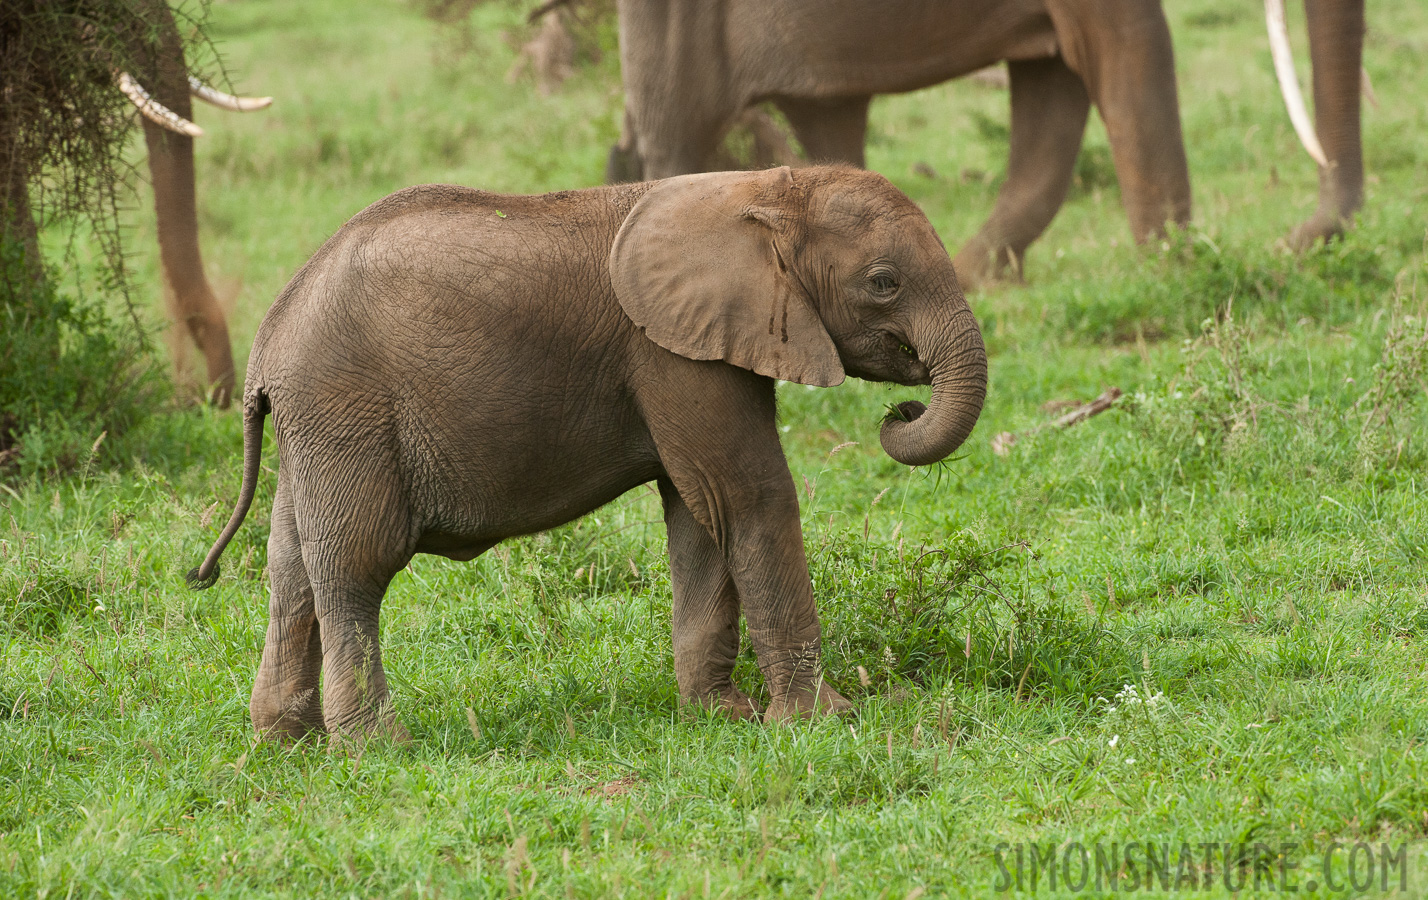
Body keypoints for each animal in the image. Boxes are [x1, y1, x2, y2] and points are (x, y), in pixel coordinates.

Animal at [189, 165, 988, 742]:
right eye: (883, 283)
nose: (902, 411)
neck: (759, 188)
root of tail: (267, 344)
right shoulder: (670, 351)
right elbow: (749, 496)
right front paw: (823, 722)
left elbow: (700, 512)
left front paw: (721, 717)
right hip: (346, 412)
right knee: (354, 565)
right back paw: (378, 747)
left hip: (314, 430)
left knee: (291, 567)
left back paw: (286, 742)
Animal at [608, 0, 1365, 285]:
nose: (1299, 239)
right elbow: (1127, 51)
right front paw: (1173, 265)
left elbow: (1053, 88)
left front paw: (976, 276)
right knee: (675, 136)